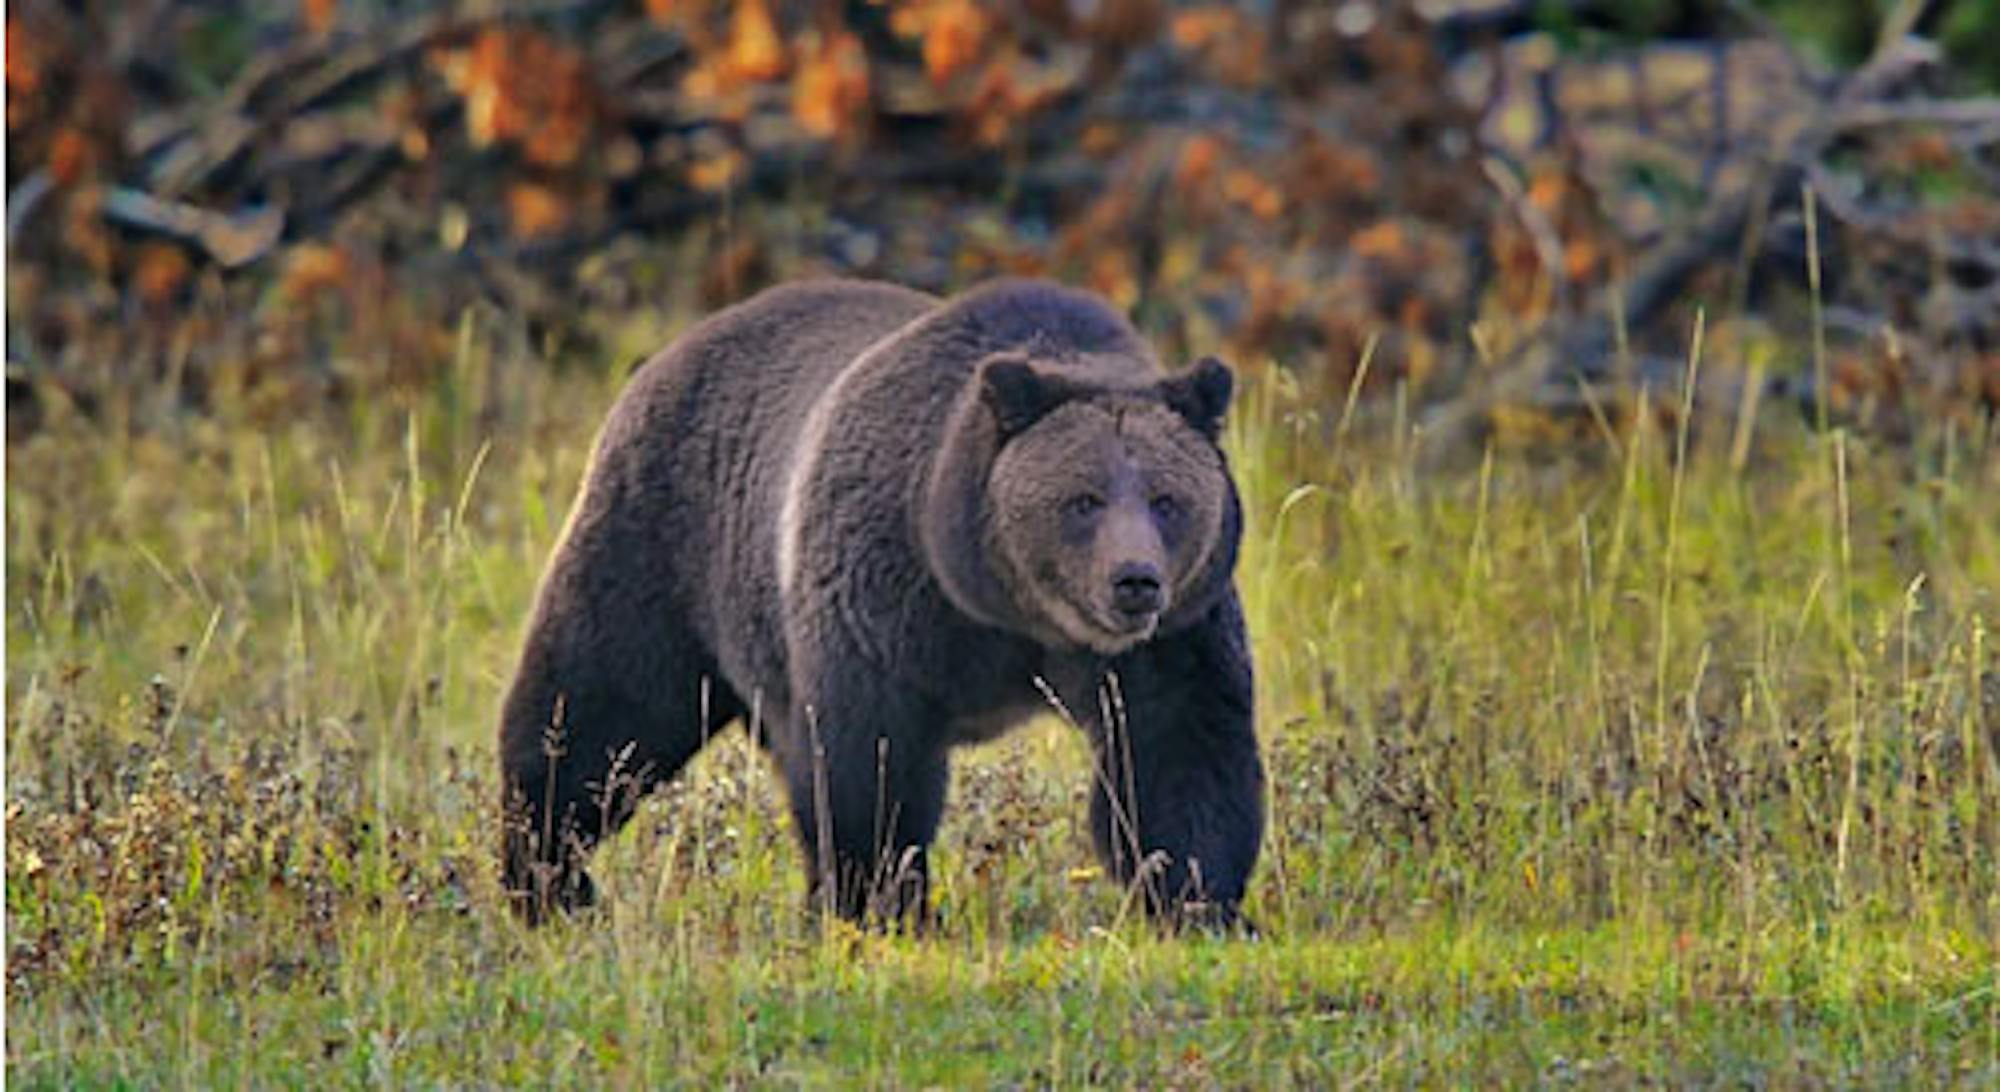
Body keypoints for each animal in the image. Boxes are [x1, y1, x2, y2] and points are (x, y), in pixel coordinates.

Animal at [498, 277, 1263, 930]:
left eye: (1167, 499)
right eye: (1082, 499)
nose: (1134, 581)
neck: (1008, 609)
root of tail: (666, 354)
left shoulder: (1174, 638)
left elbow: (1178, 750)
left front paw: (1199, 900)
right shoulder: (884, 594)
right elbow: (870, 757)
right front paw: (883, 904)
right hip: (663, 546)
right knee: (598, 712)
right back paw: (548, 881)